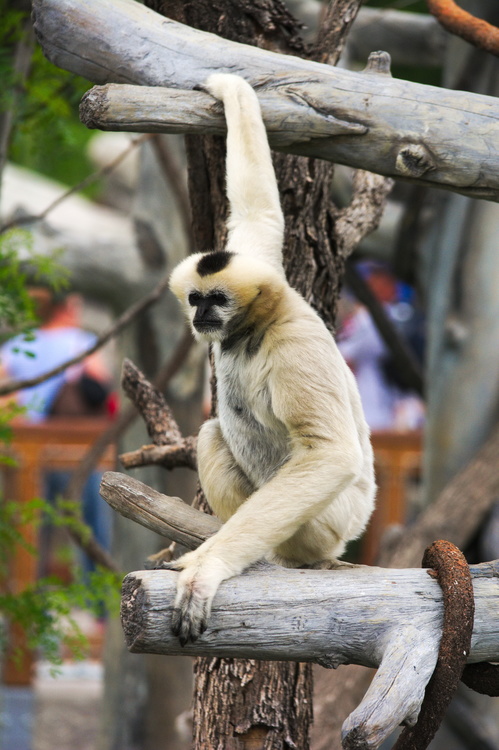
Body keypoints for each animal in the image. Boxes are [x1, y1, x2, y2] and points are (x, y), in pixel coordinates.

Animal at [165, 73, 376, 646]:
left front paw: (208, 570)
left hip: (330, 523)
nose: (202, 314)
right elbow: (258, 212)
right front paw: (230, 86)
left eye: (217, 300)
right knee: (212, 433)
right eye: (196, 298)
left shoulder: (294, 348)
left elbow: (330, 454)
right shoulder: (260, 260)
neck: (252, 332)